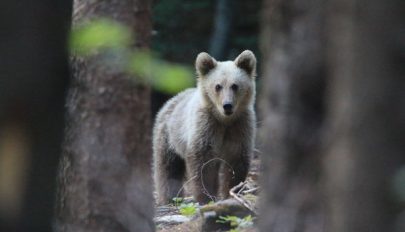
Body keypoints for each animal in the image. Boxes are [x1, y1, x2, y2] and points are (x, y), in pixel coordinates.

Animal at [152, 49, 256, 204]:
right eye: (218, 86)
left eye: (235, 85)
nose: (227, 106)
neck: (224, 120)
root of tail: (171, 100)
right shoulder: (206, 126)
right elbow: (202, 163)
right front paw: (205, 196)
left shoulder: (239, 126)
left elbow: (236, 161)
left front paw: (231, 192)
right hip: (169, 136)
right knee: (168, 167)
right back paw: (170, 197)